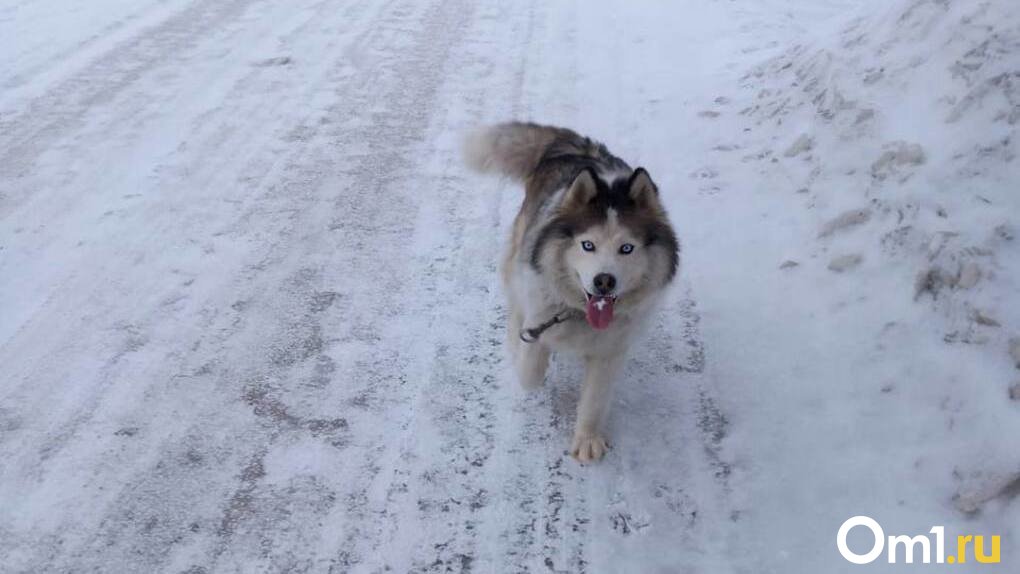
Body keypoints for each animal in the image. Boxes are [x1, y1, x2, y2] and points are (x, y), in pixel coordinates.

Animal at [467, 121, 677, 462]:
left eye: (627, 248)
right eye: (587, 245)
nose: (604, 281)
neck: (579, 313)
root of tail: (575, 145)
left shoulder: (610, 349)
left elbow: (594, 401)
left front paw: (587, 439)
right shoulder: (539, 317)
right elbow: (530, 373)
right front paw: (527, 361)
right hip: (518, 258)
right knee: (515, 304)